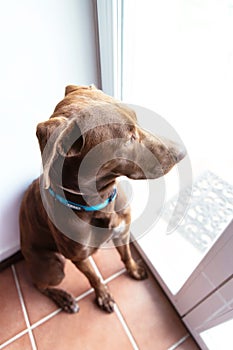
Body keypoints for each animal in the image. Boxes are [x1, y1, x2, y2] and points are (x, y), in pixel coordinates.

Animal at [19, 84, 185, 312]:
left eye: (137, 121)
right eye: (129, 138)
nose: (182, 152)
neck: (99, 201)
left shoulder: (122, 230)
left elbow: (126, 255)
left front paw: (134, 269)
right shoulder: (79, 257)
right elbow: (94, 278)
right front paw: (104, 296)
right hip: (53, 265)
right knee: (40, 285)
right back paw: (64, 298)